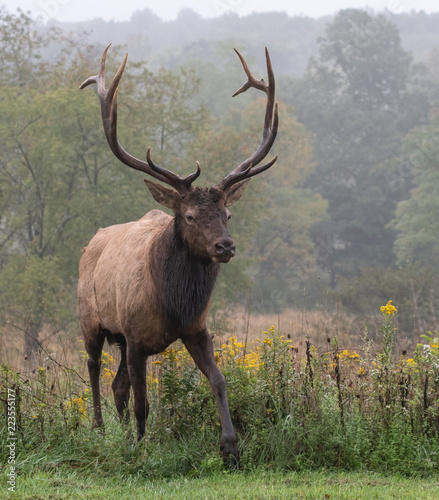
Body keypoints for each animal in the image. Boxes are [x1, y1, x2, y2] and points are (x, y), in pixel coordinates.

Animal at [78, 45, 278, 462]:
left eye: (227, 214)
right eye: (188, 215)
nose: (225, 246)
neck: (172, 303)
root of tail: (92, 243)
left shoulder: (195, 328)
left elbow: (218, 380)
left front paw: (231, 447)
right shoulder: (135, 335)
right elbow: (143, 402)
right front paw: (141, 448)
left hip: (120, 339)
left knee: (117, 385)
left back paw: (122, 434)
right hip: (90, 319)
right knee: (93, 368)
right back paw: (101, 431)